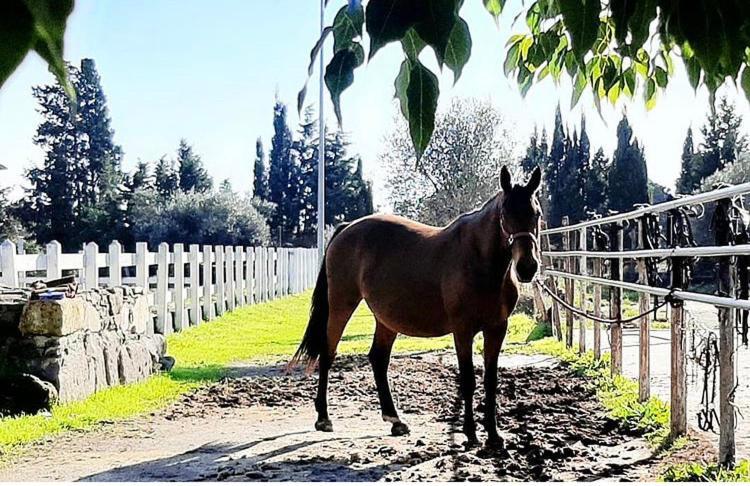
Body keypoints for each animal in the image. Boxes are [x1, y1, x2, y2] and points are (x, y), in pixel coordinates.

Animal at [290, 165, 544, 446]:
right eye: (505, 214)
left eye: (536, 213)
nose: (527, 267)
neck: (480, 261)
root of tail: (347, 229)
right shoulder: (463, 330)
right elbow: (468, 380)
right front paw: (470, 433)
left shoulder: (497, 328)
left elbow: (491, 380)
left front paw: (494, 435)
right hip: (341, 306)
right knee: (328, 353)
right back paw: (324, 418)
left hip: (386, 319)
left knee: (378, 359)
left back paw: (395, 420)